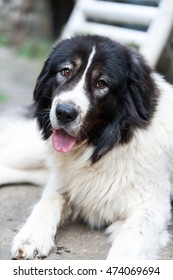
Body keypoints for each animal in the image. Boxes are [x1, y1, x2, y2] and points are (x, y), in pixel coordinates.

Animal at [10, 35, 173, 260]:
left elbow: (131, 236)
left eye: (101, 83)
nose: (64, 113)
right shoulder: (61, 182)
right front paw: (30, 237)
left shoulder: (153, 204)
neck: (101, 148)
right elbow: (49, 200)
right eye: (65, 71)